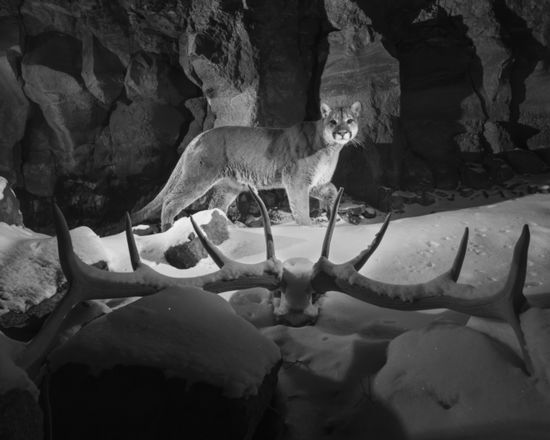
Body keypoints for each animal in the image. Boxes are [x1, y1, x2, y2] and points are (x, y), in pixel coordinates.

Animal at [132, 102, 364, 230]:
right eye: (333, 122)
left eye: (349, 120)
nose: (342, 133)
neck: (330, 147)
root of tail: (200, 135)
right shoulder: (296, 180)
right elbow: (300, 207)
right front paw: (307, 228)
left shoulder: (316, 182)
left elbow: (332, 190)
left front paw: (336, 214)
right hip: (199, 176)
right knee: (171, 201)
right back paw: (168, 229)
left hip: (229, 185)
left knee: (215, 205)